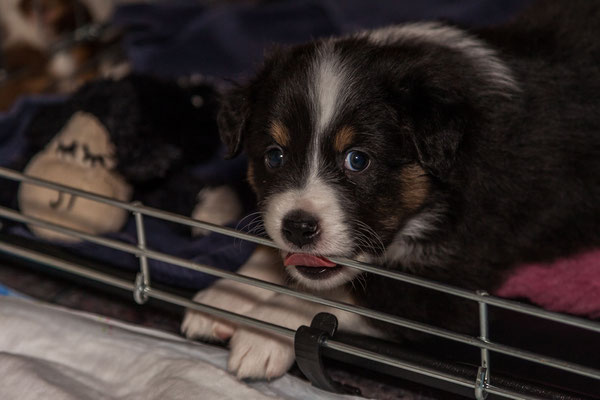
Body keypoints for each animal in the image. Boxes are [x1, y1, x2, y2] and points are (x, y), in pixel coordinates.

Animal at [183, 0, 600, 380]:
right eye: (274, 156)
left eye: (358, 160)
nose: (299, 227)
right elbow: (272, 251)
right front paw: (228, 294)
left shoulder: (450, 280)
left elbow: (344, 294)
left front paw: (263, 332)